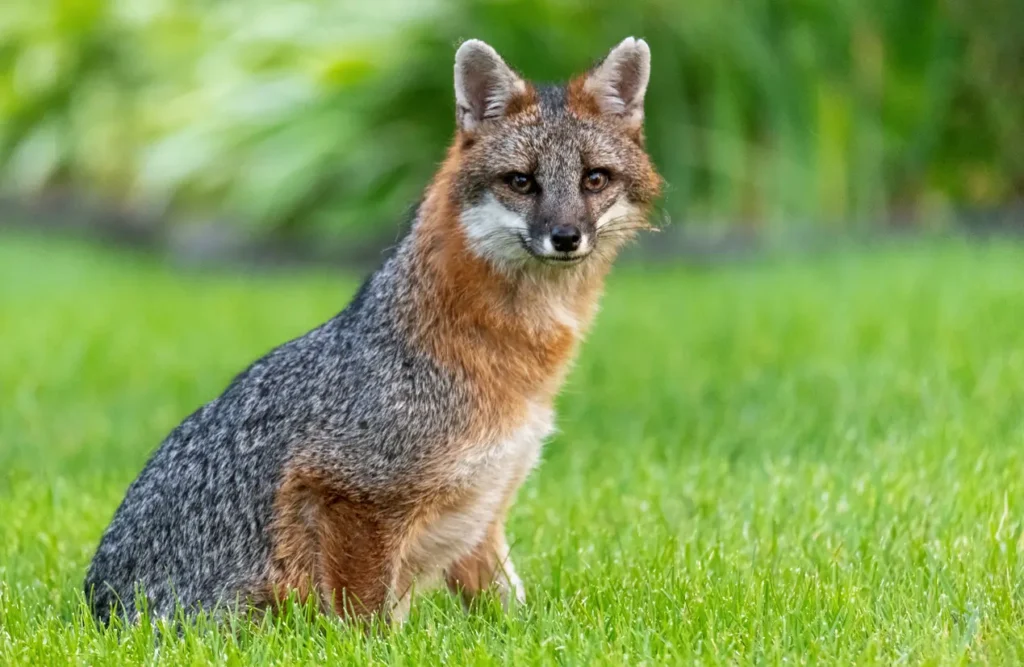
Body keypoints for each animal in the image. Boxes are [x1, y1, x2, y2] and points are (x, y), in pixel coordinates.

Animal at [88, 37, 663, 627]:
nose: (566, 236)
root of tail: (99, 608)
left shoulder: (483, 511)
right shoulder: (351, 492)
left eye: (594, 178)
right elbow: (366, 622)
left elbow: (510, 610)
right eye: (522, 182)